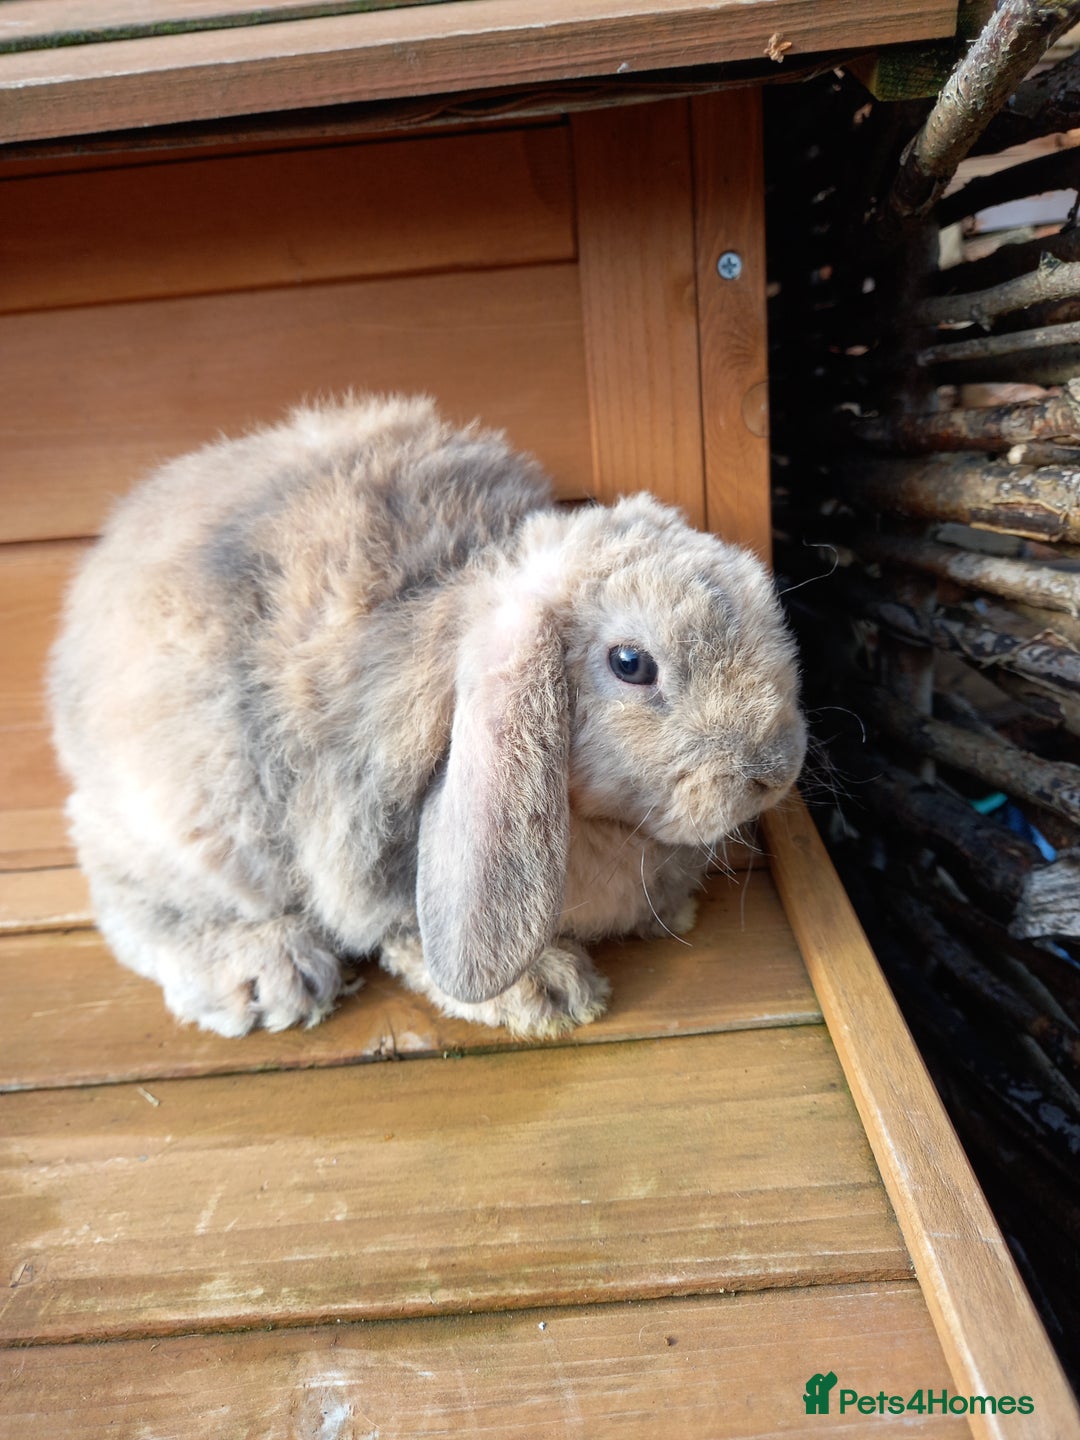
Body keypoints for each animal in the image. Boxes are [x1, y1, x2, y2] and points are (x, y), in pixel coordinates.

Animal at [49, 394, 806, 1040]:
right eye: (631, 663)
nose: (775, 770)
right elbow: (406, 932)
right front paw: (543, 991)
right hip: (197, 818)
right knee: (133, 897)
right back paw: (271, 973)